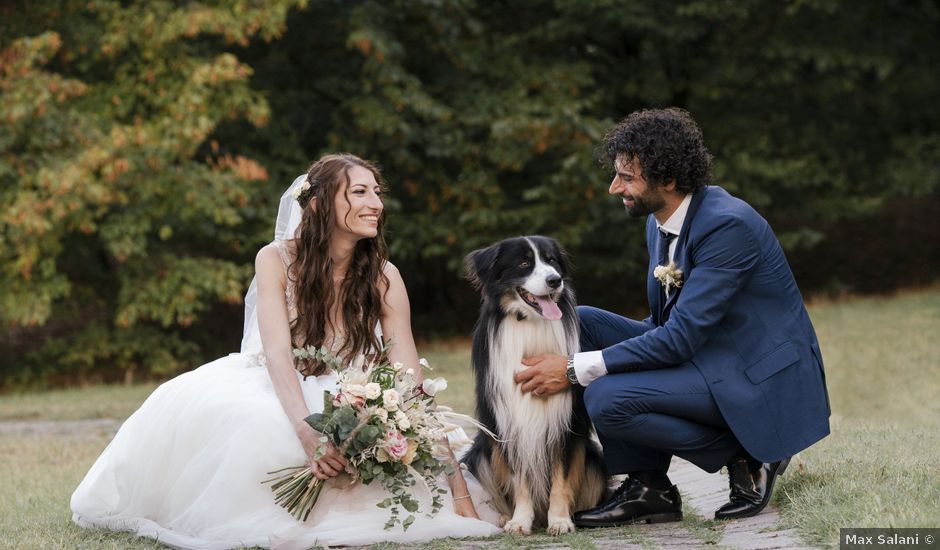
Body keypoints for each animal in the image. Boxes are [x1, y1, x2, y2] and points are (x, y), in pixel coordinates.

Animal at [460, 238, 604, 540]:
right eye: (524, 263)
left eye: (551, 261)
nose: (555, 280)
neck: (528, 323)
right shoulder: (508, 421)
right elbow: (519, 480)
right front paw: (519, 521)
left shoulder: (567, 422)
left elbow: (561, 478)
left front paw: (559, 520)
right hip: (479, 456)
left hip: (595, 459)